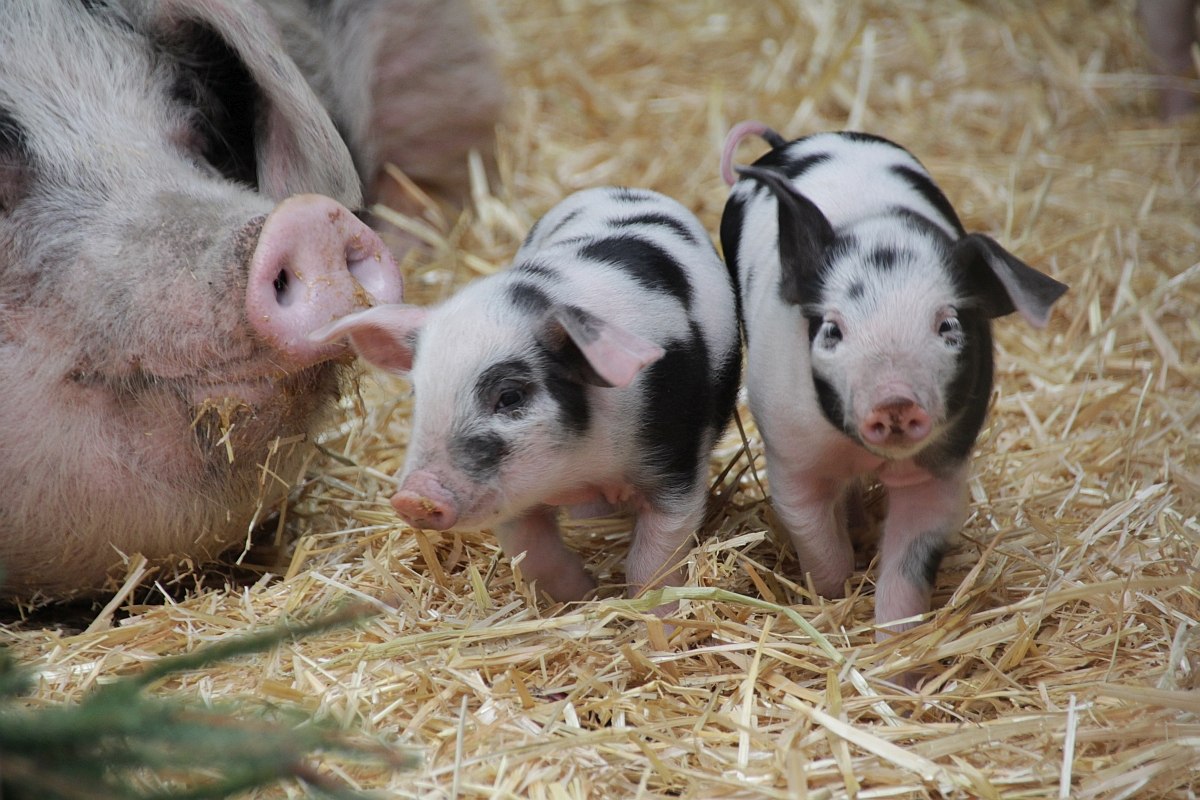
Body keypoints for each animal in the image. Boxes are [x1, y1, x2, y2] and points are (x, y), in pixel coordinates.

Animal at [312, 188, 739, 609]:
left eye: (510, 395)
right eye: (420, 393)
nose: (412, 497)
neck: (583, 467)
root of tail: (623, 189)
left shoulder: (675, 462)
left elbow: (655, 558)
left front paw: (658, 617)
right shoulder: (512, 496)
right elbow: (535, 553)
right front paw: (581, 598)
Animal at [720, 120, 1070, 642]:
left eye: (948, 325)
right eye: (832, 330)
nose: (894, 400)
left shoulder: (940, 466)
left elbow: (909, 564)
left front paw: (895, 650)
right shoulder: (791, 453)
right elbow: (817, 540)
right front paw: (834, 600)